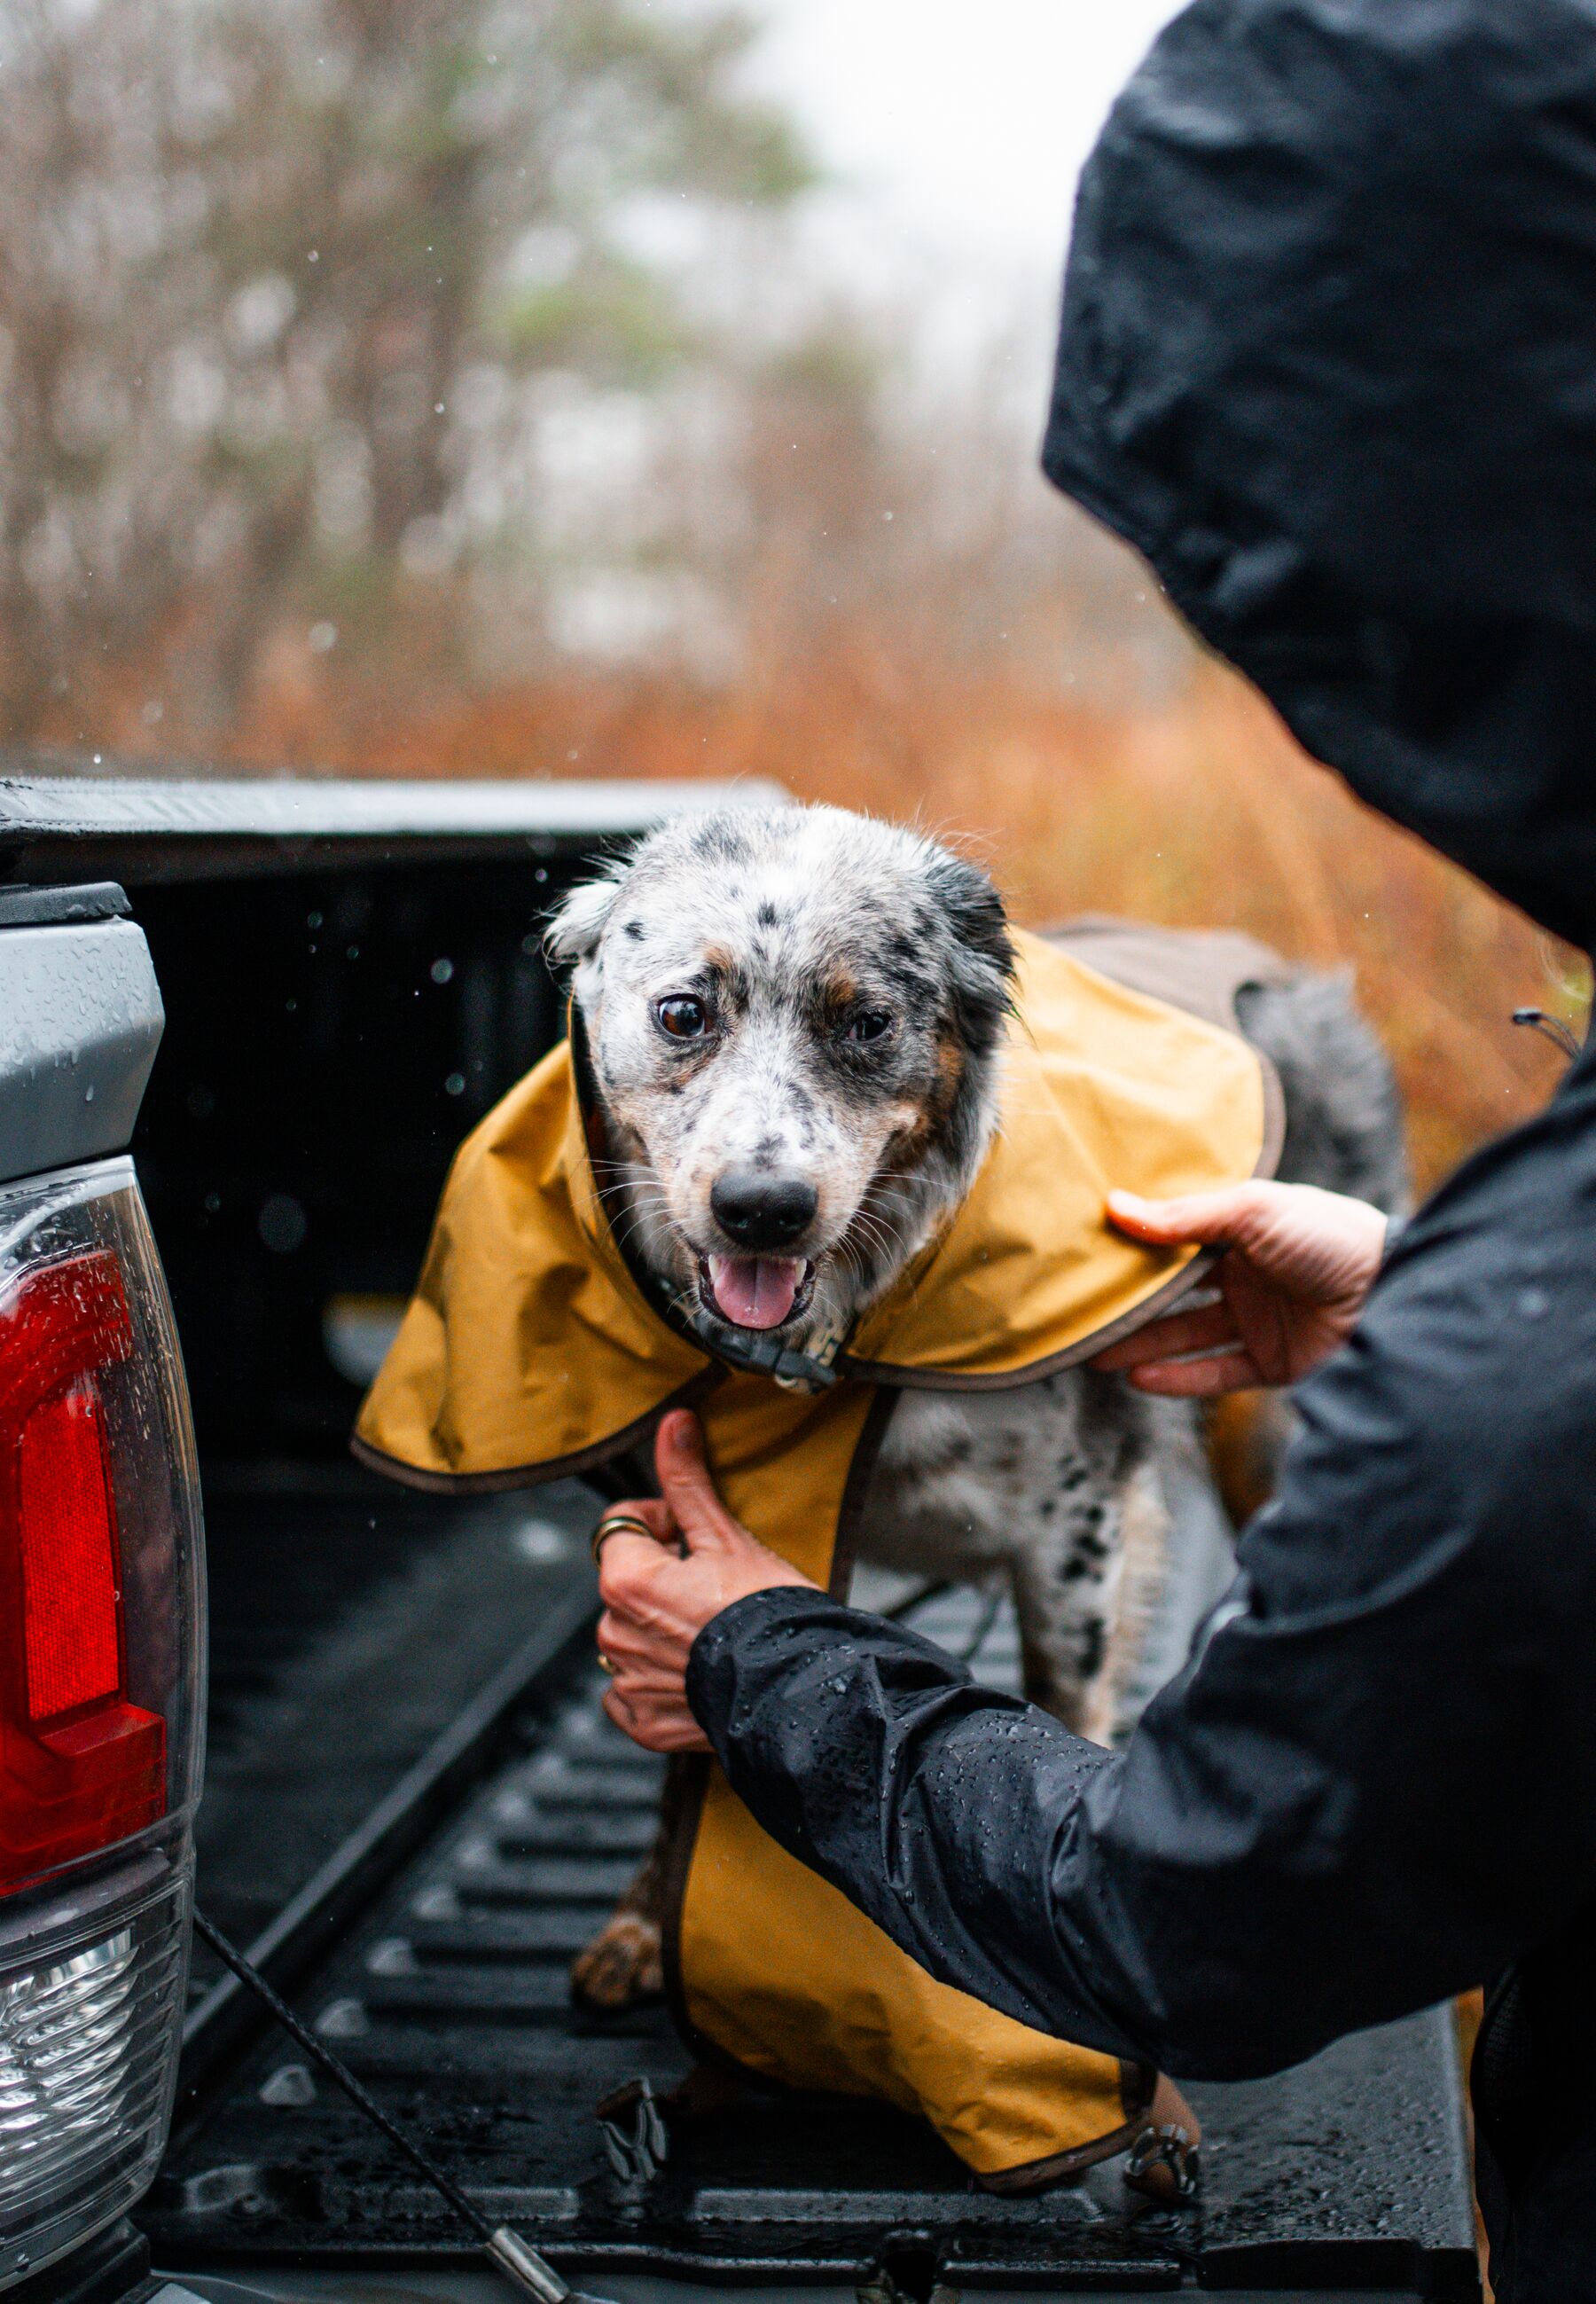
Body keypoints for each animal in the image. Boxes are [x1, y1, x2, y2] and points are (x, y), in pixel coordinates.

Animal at [548, 802, 1409, 2009]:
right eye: (683, 1013)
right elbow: (690, 1757)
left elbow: (1056, 1721)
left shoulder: (1074, 1544)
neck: (840, 1349)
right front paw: (644, 1924)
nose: (763, 1208)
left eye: (866, 1023)